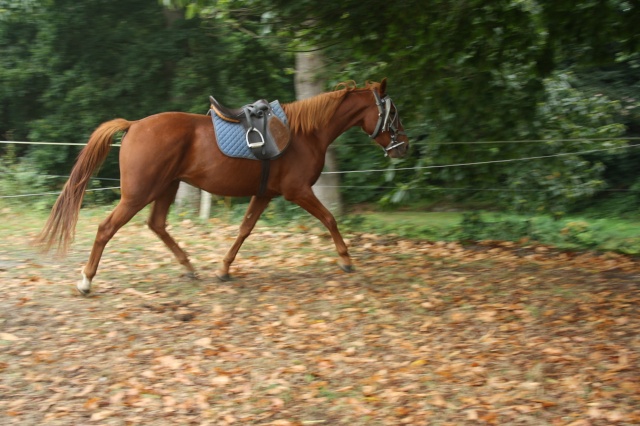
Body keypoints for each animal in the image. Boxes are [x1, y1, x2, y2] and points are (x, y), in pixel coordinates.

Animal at [37, 78, 410, 294]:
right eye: (393, 114)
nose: (403, 147)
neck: (306, 133)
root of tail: (133, 125)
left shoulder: (265, 194)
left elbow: (244, 230)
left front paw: (223, 269)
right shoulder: (298, 191)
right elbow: (330, 219)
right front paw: (346, 260)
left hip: (166, 188)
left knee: (157, 225)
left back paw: (189, 268)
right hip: (139, 193)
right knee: (106, 228)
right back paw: (86, 280)